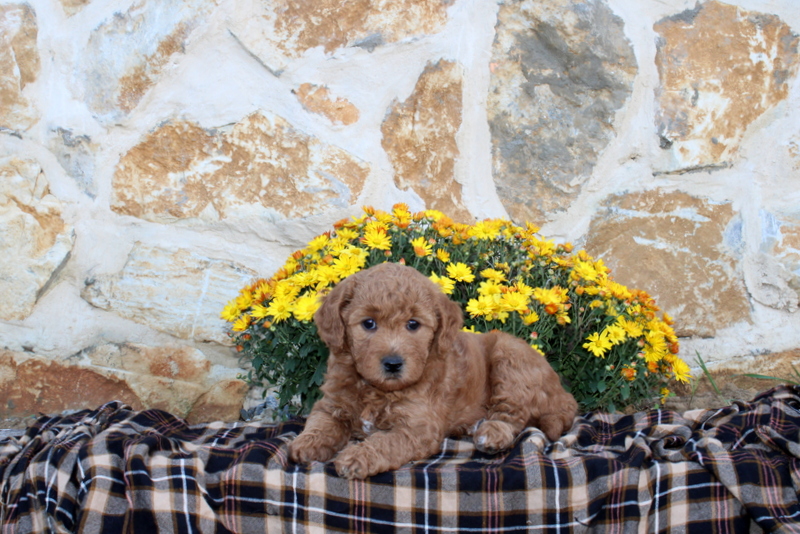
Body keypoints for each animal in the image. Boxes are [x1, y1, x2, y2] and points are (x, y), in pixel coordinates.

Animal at [290, 264, 580, 482]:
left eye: (413, 324)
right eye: (368, 323)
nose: (393, 363)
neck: (376, 389)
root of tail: (564, 394)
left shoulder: (418, 427)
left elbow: (385, 442)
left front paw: (357, 457)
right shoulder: (330, 405)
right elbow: (320, 423)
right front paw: (306, 444)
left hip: (510, 358)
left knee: (513, 415)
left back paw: (490, 433)